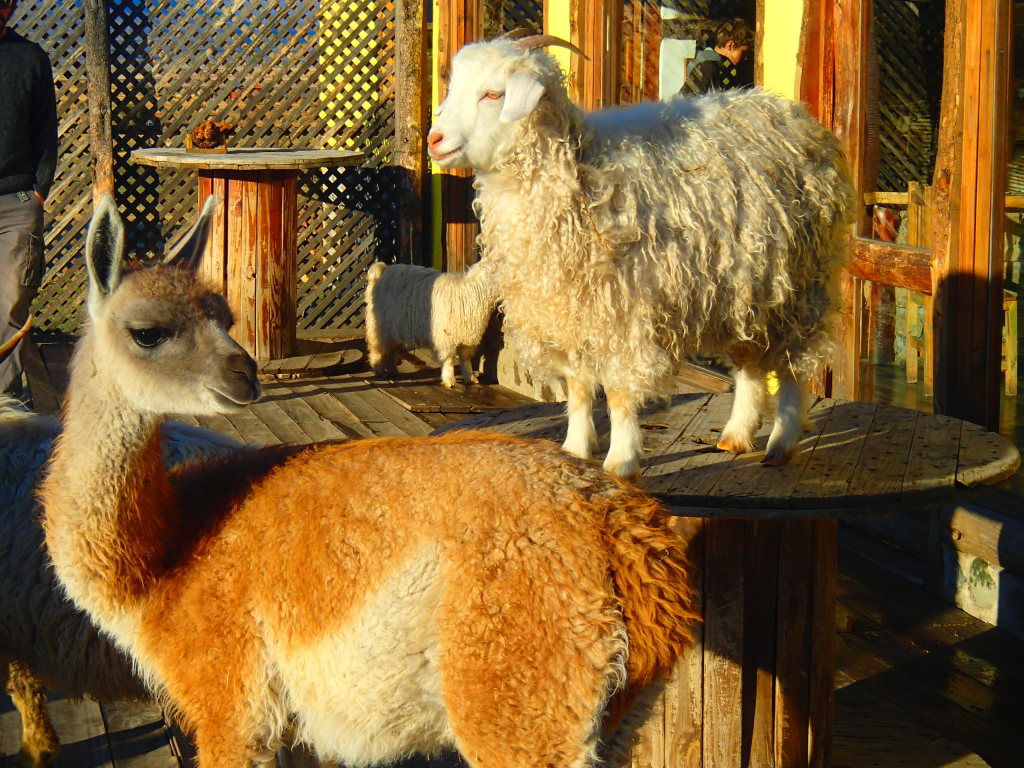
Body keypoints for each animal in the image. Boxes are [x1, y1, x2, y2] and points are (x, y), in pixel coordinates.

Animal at [366, 259, 497, 387]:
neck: (470, 292)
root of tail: (382, 270)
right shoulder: (445, 337)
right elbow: (449, 359)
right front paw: (449, 380)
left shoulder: (468, 338)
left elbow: (466, 359)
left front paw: (470, 377)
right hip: (378, 326)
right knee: (377, 348)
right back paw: (379, 370)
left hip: (392, 329)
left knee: (390, 350)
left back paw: (392, 370)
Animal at [428, 37, 860, 481]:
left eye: (493, 94)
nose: (435, 140)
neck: (580, 174)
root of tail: (793, 114)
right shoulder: (569, 311)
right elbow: (578, 388)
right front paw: (575, 450)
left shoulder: (626, 315)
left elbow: (619, 393)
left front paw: (621, 462)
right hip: (745, 287)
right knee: (749, 359)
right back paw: (737, 434)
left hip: (802, 284)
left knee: (793, 362)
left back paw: (781, 442)